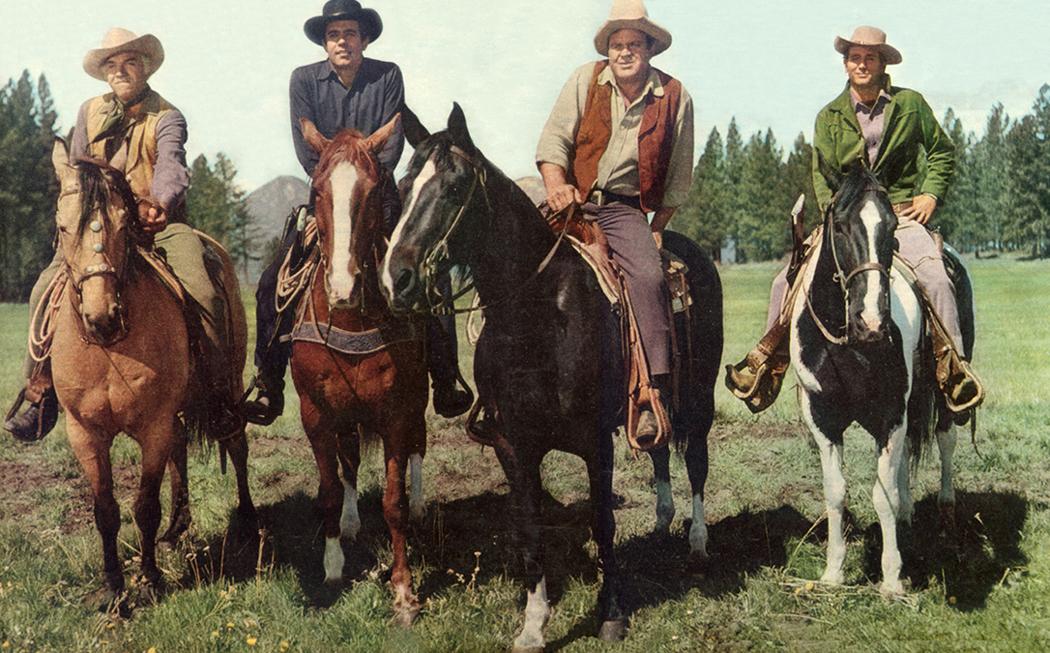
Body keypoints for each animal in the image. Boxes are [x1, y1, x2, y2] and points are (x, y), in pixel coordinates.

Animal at [47, 140, 254, 606]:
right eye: (63, 228)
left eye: (125, 225)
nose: (102, 317)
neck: (110, 350)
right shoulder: (85, 433)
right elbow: (106, 510)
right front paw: (114, 588)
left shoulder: (154, 425)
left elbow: (144, 505)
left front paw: (152, 577)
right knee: (181, 451)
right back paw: (178, 527)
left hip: (230, 387)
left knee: (237, 445)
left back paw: (249, 521)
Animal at [289, 116, 428, 626]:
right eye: (317, 192)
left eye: (372, 191)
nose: (343, 286)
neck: (351, 320)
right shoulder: (316, 414)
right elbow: (330, 489)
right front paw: (333, 568)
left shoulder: (397, 412)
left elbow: (394, 502)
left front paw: (404, 591)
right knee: (348, 463)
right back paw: (349, 524)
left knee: (419, 447)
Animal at [380, 105, 722, 650]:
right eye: (406, 183)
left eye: (454, 187)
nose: (397, 279)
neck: (535, 312)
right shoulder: (513, 443)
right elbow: (529, 529)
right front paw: (534, 624)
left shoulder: (594, 440)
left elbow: (602, 521)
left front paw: (612, 614)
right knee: (659, 447)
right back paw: (663, 522)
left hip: (698, 396)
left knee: (695, 461)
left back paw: (696, 542)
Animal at [791, 163, 958, 596]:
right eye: (840, 226)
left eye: (893, 226)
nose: (871, 322)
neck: (848, 346)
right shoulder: (823, 418)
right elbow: (836, 492)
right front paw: (833, 572)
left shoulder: (890, 413)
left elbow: (882, 495)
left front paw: (892, 578)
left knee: (945, 439)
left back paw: (946, 508)